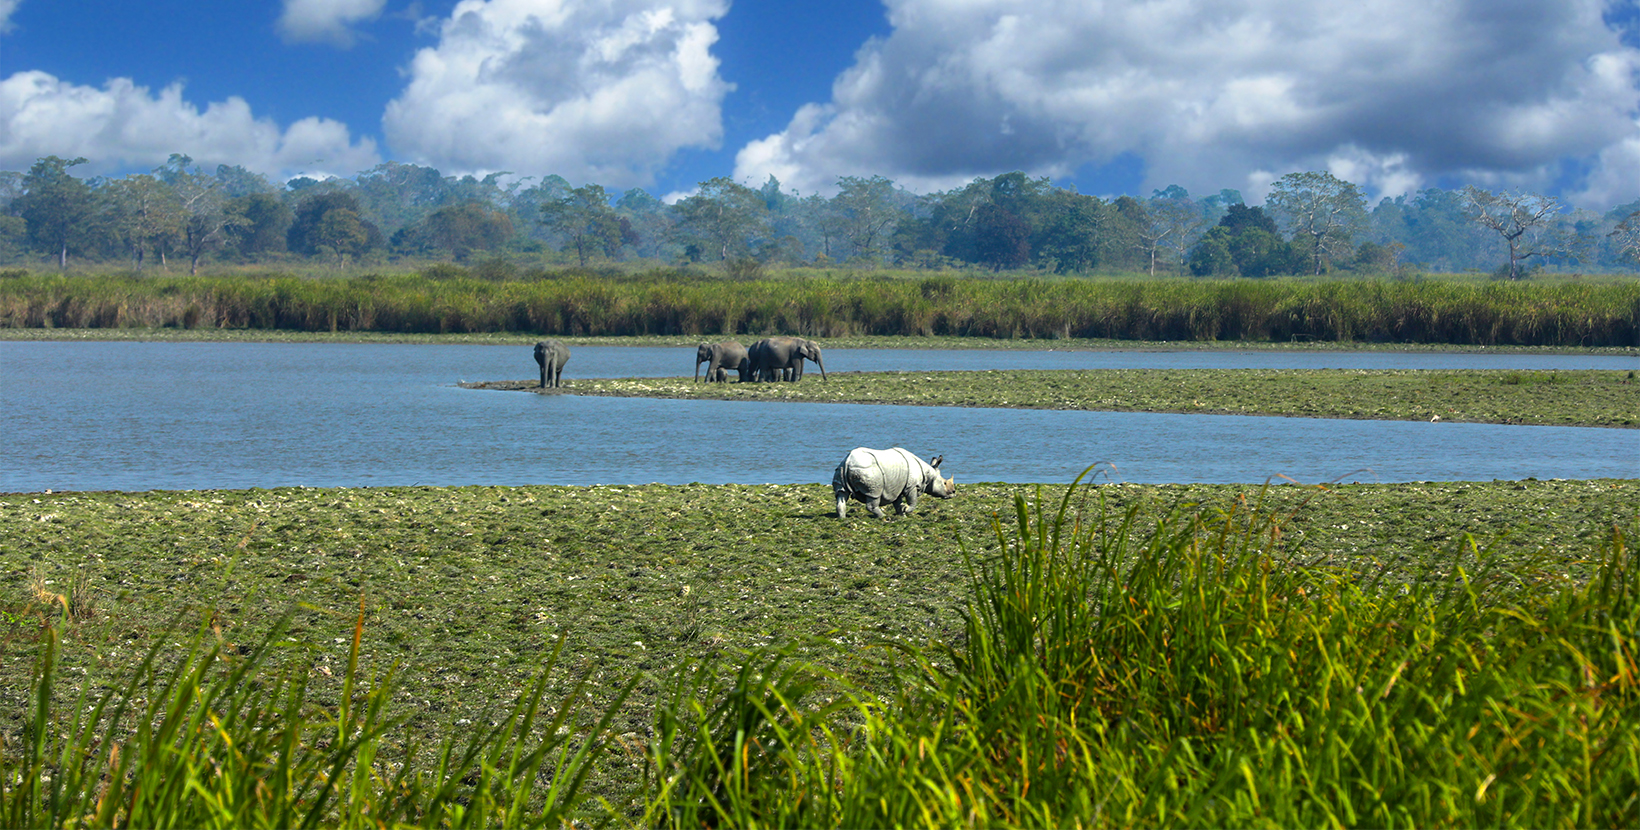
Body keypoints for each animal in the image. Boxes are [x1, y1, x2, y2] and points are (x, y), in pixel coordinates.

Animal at [826, 446, 957, 518]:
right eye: (945, 483)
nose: (953, 493)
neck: (929, 474)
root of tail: (848, 461)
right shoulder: (912, 486)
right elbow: (913, 501)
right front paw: (906, 510)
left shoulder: (898, 487)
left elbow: (897, 502)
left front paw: (902, 515)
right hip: (868, 471)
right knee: (874, 494)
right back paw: (883, 517)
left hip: (840, 469)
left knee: (841, 494)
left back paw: (842, 518)